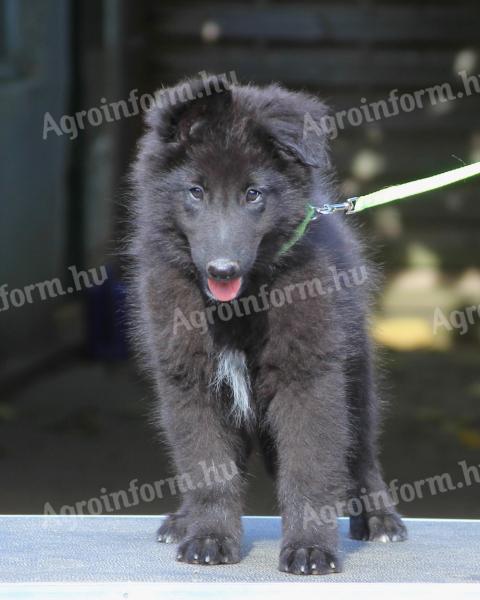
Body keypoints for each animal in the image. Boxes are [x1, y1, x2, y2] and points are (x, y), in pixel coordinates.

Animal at [126, 77, 404, 576]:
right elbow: (207, 467)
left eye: (253, 194)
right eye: (195, 191)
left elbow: (310, 468)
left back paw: (378, 517)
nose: (222, 269)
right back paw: (184, 520)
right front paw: (209, 537)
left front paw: (310, 548)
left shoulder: (309, 379)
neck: (239, 307)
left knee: (362, 452)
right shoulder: (189, 383)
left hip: (355, 374)